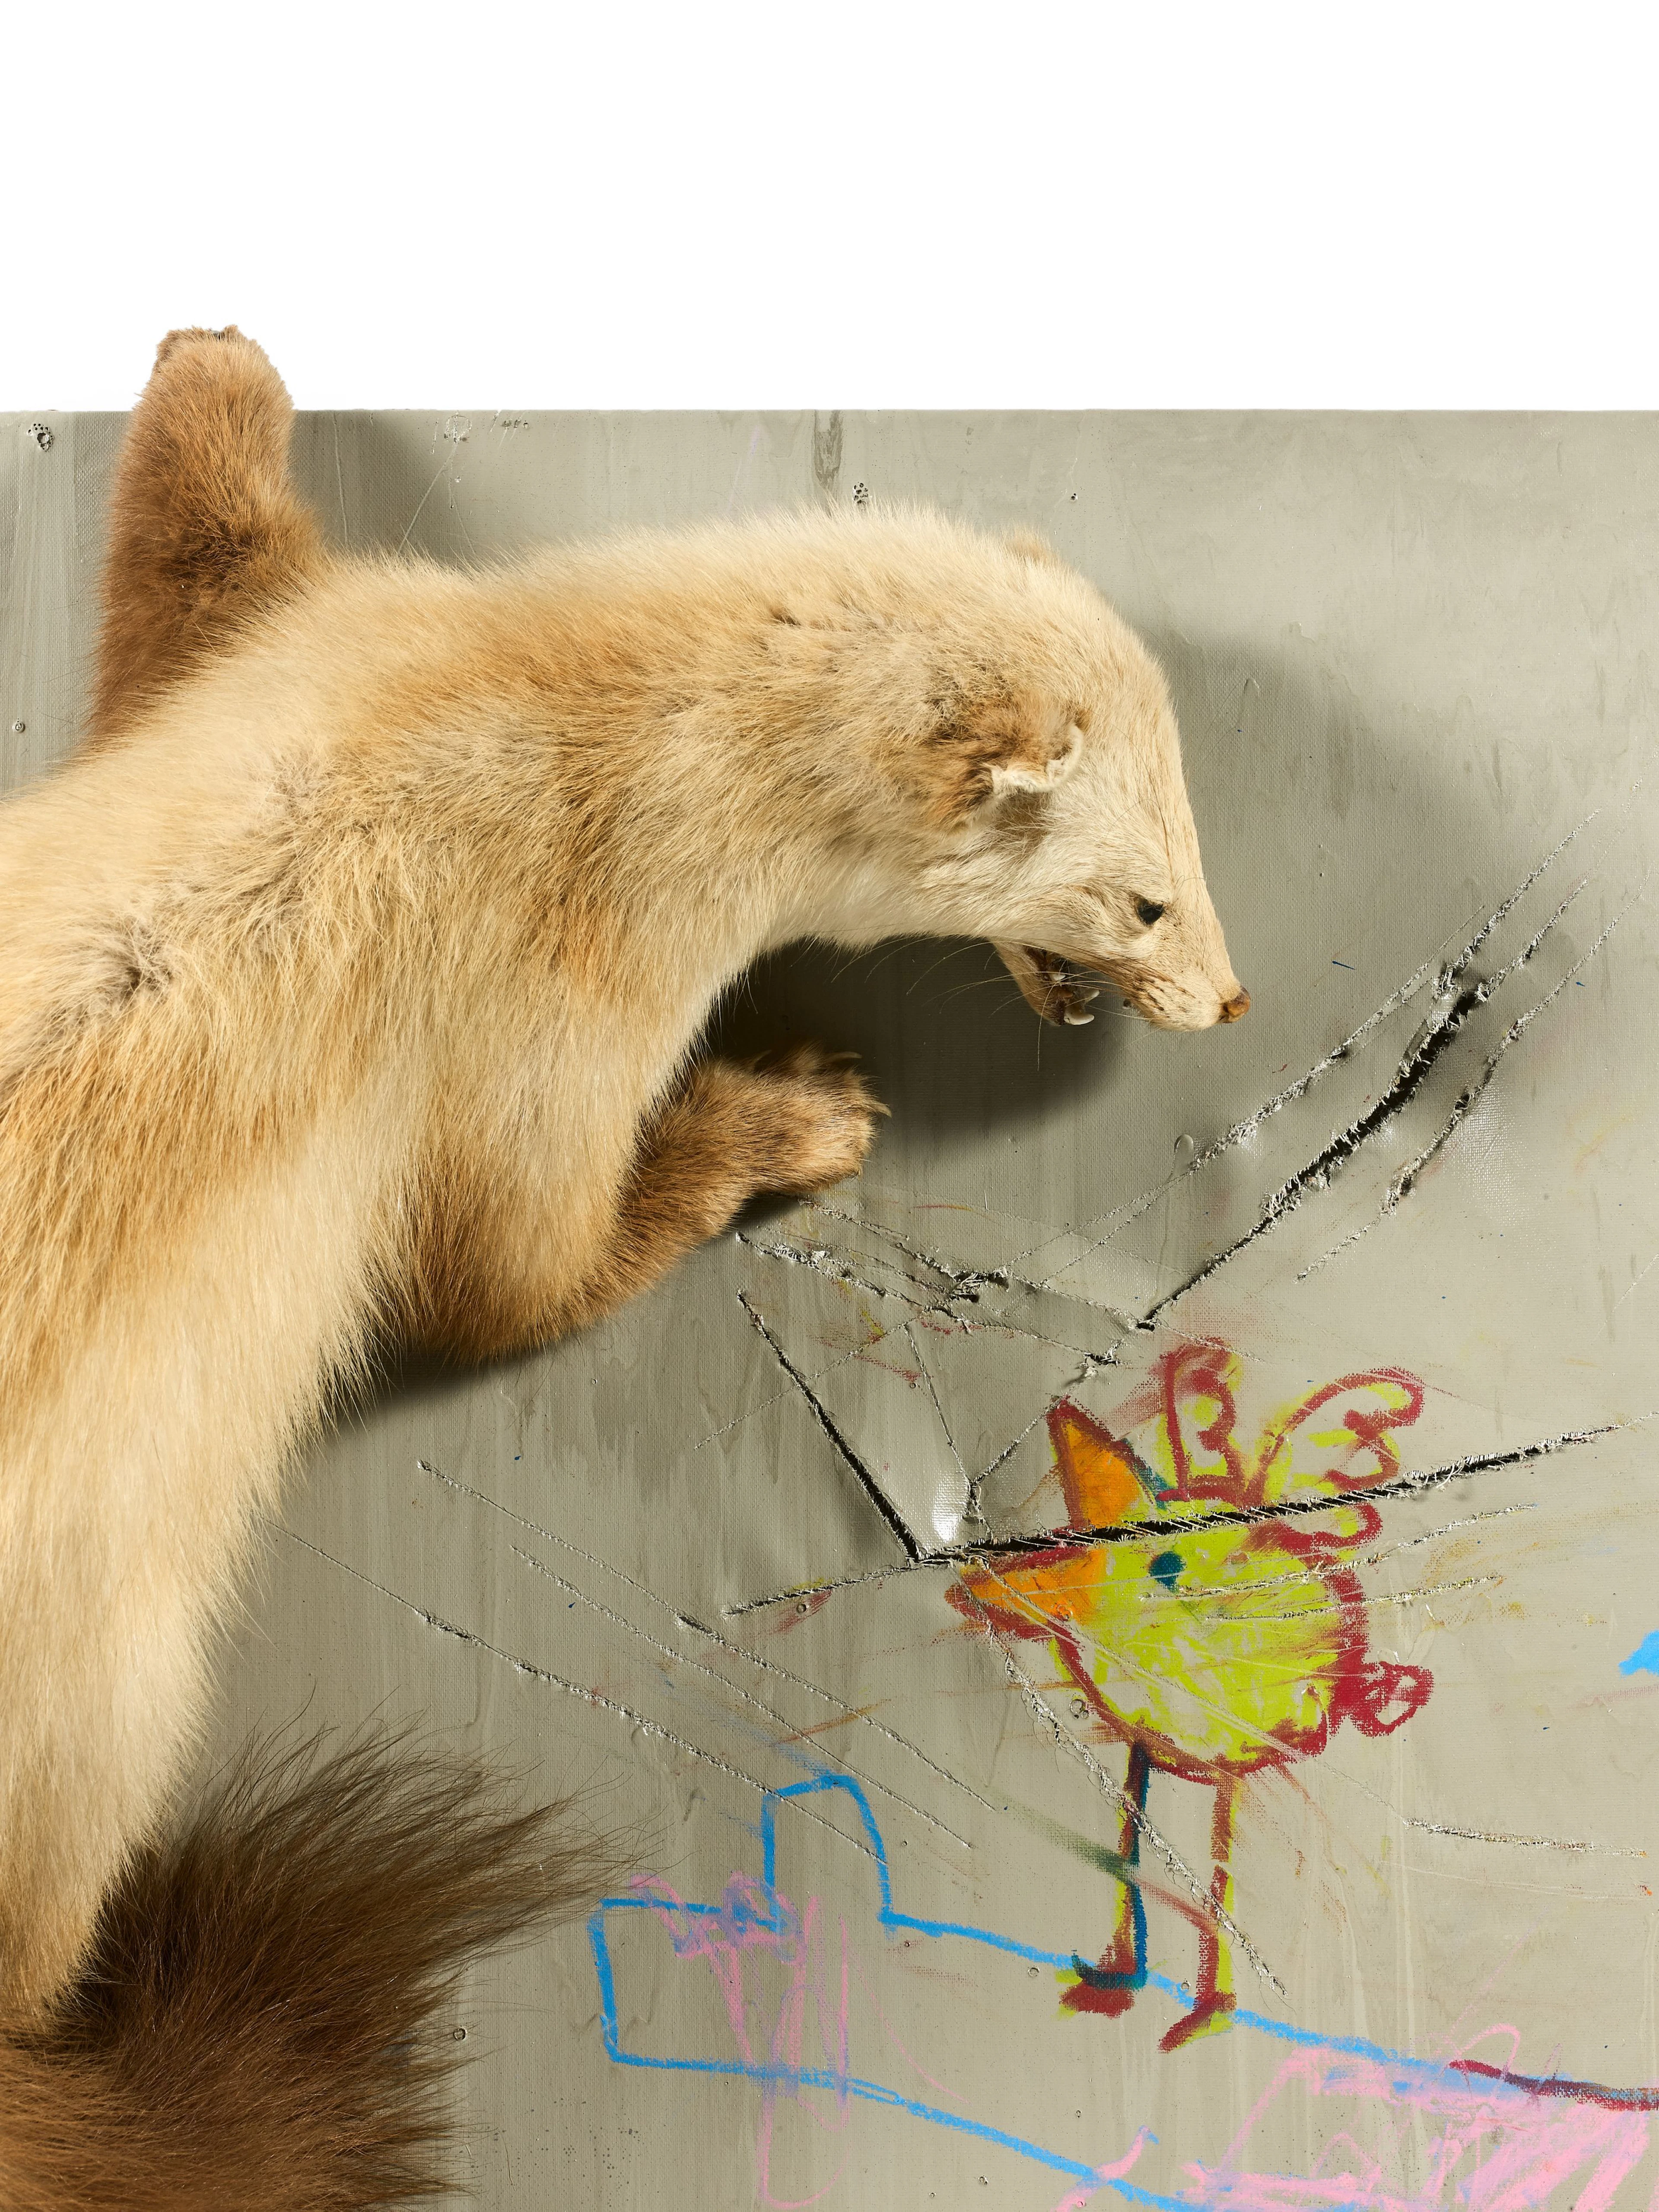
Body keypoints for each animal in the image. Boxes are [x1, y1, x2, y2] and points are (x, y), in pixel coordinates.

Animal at [0, 329, 1246, 2206]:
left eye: (1198, 822)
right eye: (1144, 896)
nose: (1233, 996)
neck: (496, 706)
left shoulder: (272, 661)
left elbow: (186, 560)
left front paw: (216, 358)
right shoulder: (561, 1012)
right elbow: (508, 1273)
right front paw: (788, 1113)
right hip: (102, 1699)